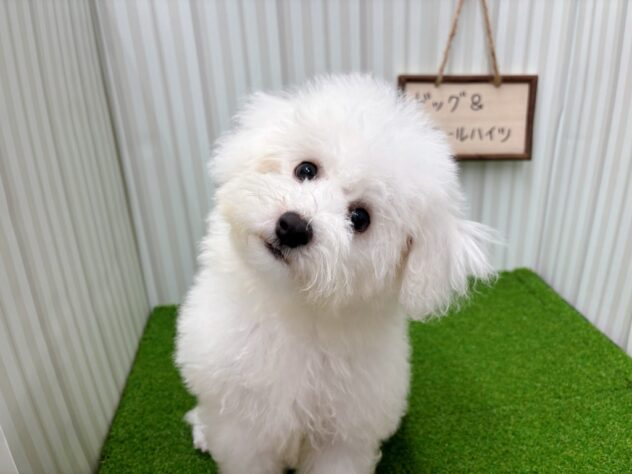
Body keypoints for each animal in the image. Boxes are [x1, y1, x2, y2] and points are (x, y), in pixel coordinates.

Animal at [175, 75, 494, 474]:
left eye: (360, 218)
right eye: (306, 170)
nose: (293, 226)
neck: (293, 311)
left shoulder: (344, 435)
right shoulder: (242, 426)